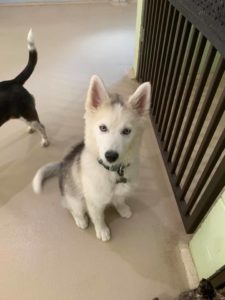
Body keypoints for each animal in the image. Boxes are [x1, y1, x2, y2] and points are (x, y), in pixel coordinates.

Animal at [32, 75, 150, 241]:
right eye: (103, 128)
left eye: (127, 131)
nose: (111, 156)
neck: (112, 171)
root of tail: (63, 163)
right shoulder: (93, 201)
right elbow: (98, 217)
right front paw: (102, 230)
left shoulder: (120, 190)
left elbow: (119, 199)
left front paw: (123, 209)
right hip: (76, 198)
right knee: (71, 207)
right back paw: (80, 219)